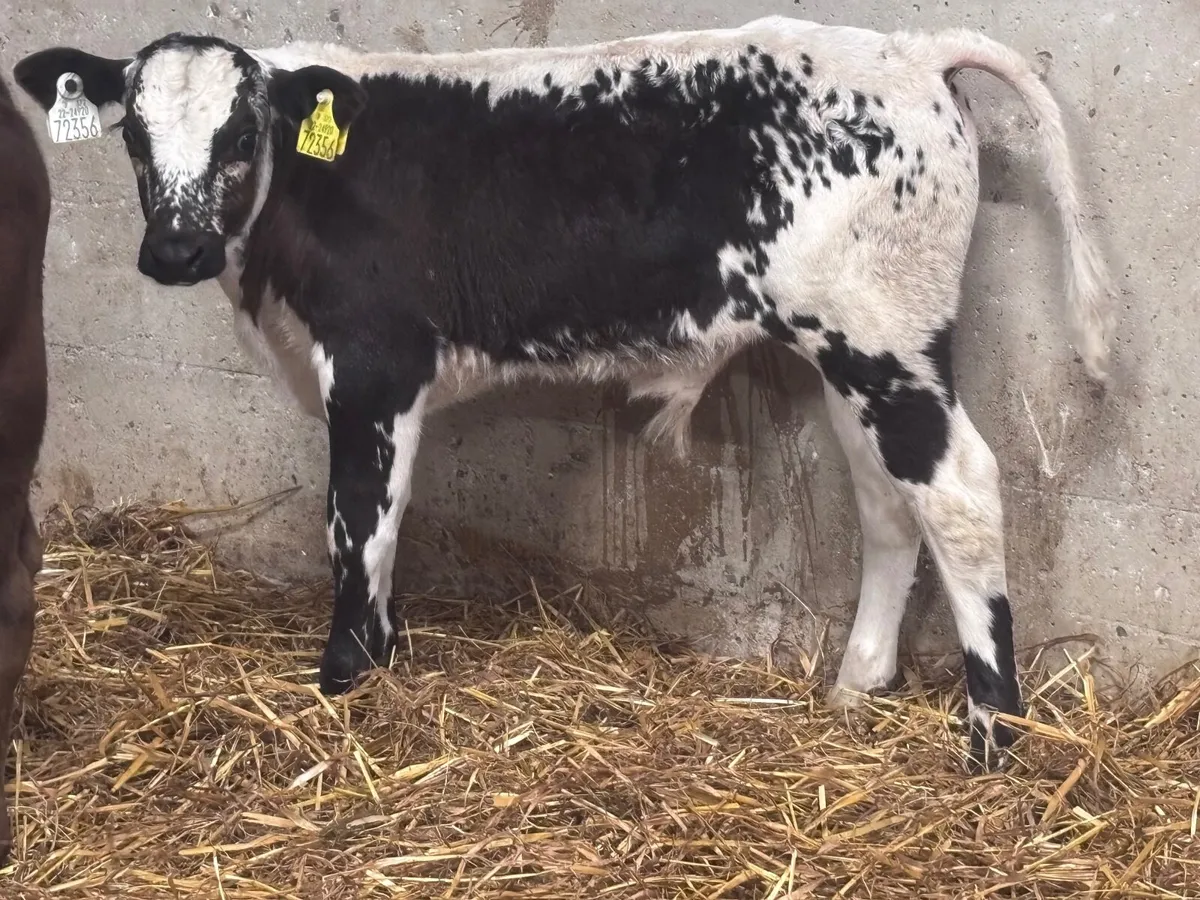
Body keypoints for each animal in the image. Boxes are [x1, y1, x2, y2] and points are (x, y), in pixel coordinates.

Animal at [13, 14, 1114, 772]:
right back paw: (854, 688)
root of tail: (907, 45)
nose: (175, 251)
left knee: (962, 491)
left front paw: (344, 680)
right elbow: (382, 528)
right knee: (891, 502)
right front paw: (384, 657)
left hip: (883, 340)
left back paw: (991, 733)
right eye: (132, 138)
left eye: (241, 136)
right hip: (853, 349)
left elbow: (355, 525)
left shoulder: (373, 365)